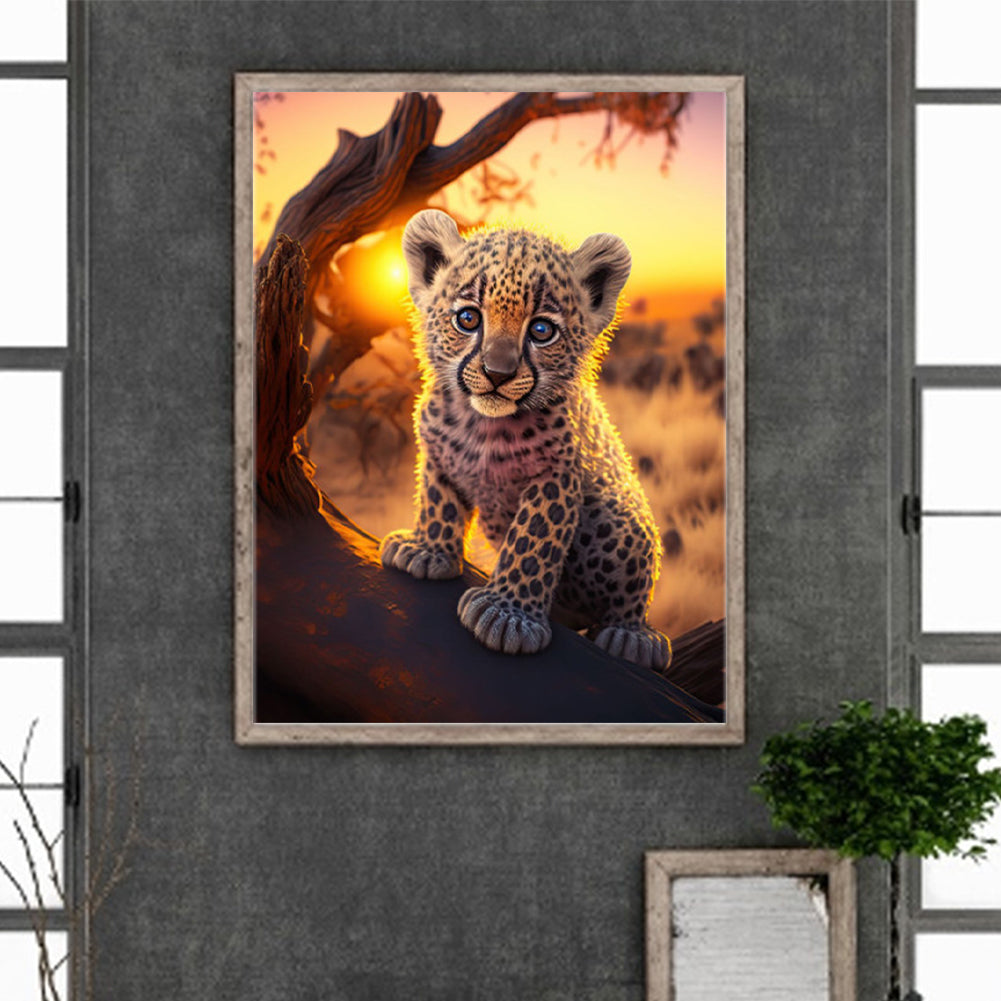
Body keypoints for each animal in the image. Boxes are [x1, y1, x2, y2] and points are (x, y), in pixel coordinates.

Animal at [379, 209, 672, 671]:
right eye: (468, 319)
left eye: (541, 330)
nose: (498, 373)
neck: (482, 428)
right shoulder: (437, 452)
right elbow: (437, 501)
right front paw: (426, 550)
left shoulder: (556, 477)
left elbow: (532, 541)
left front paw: (508, 616)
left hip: (616, 519)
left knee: (633, 587)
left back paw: (633, 638)